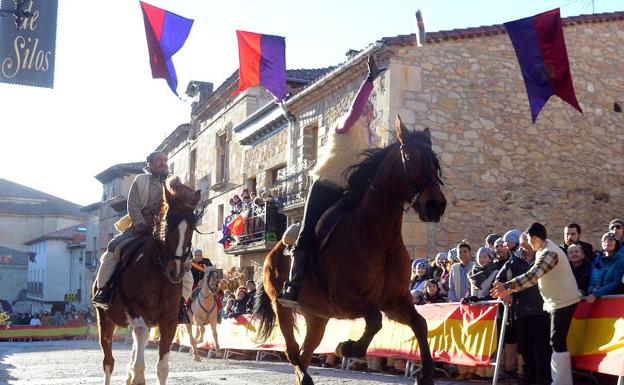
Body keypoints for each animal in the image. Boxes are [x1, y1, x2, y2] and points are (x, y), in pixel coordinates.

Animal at [94, 177, 200, 384]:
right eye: (167, 224)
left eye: (191, 228)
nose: (176, 272)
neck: (158, 272)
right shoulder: (138, 313)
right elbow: (139, 364)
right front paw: (136, 374)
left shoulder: (169, 319)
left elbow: (162, 368)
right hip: (105, 319)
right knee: (109, 362)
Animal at [256, 117, 446, 384]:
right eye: (409, 157)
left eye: (434, 160)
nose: (435, 205)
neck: (378, 236)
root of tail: (273, 251)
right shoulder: (345, 299)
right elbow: (375, 320)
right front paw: (347, 347)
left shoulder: (395, 300)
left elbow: (420, 324)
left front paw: (426, 374)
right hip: (282, 306)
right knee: (291, 351)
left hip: (317, 317)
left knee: (304, 353)